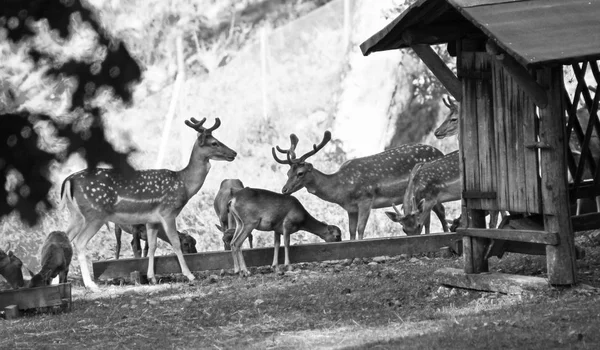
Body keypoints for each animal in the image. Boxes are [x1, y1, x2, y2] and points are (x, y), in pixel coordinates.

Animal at [61, 117, 237, 290]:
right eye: (214, 143)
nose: (234, 153)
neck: (184, 184)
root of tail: (68, 180)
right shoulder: (168, 212)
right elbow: (175, 243)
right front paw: (189, 275)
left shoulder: (152, 220)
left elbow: (152, 246)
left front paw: (152, 277)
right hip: (95, 214)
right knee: (79, 242)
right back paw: (90, 284)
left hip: (76, 215)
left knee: (64, 237)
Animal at [272, 132, 450, 241]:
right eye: (288, 172)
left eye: (300, 173)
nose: (284, 190)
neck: (341, 189)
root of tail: (441, 152)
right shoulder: (350, 208)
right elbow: (351, 230)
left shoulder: (366, 199)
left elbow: (360, 229)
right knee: (427, 216)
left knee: (439, 211)